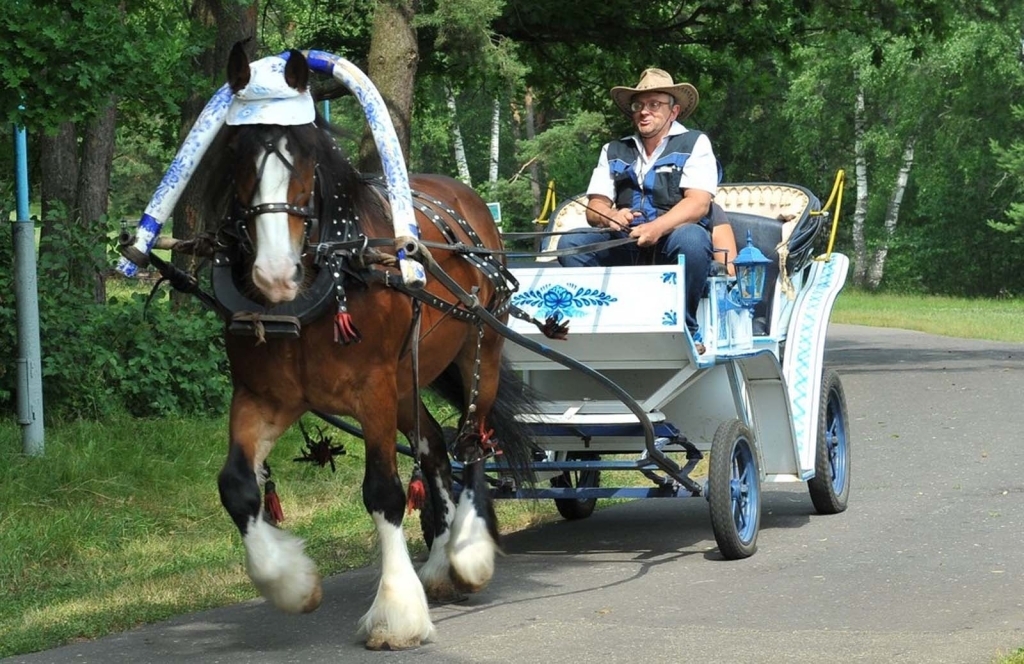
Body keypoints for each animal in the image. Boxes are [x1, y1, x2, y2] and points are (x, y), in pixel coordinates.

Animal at [200, 46, 536, 647]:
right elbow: (237, 486)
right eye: (235, 156)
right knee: (435, 447)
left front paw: (396, 612)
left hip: (481, 348)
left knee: (473, 439)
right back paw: (440, 561)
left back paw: (468, 552)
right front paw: (290, 580)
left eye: (306, 160)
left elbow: (383, 492)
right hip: (408, 381)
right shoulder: (262, 396)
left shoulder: (371, 389)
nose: (275, 274)